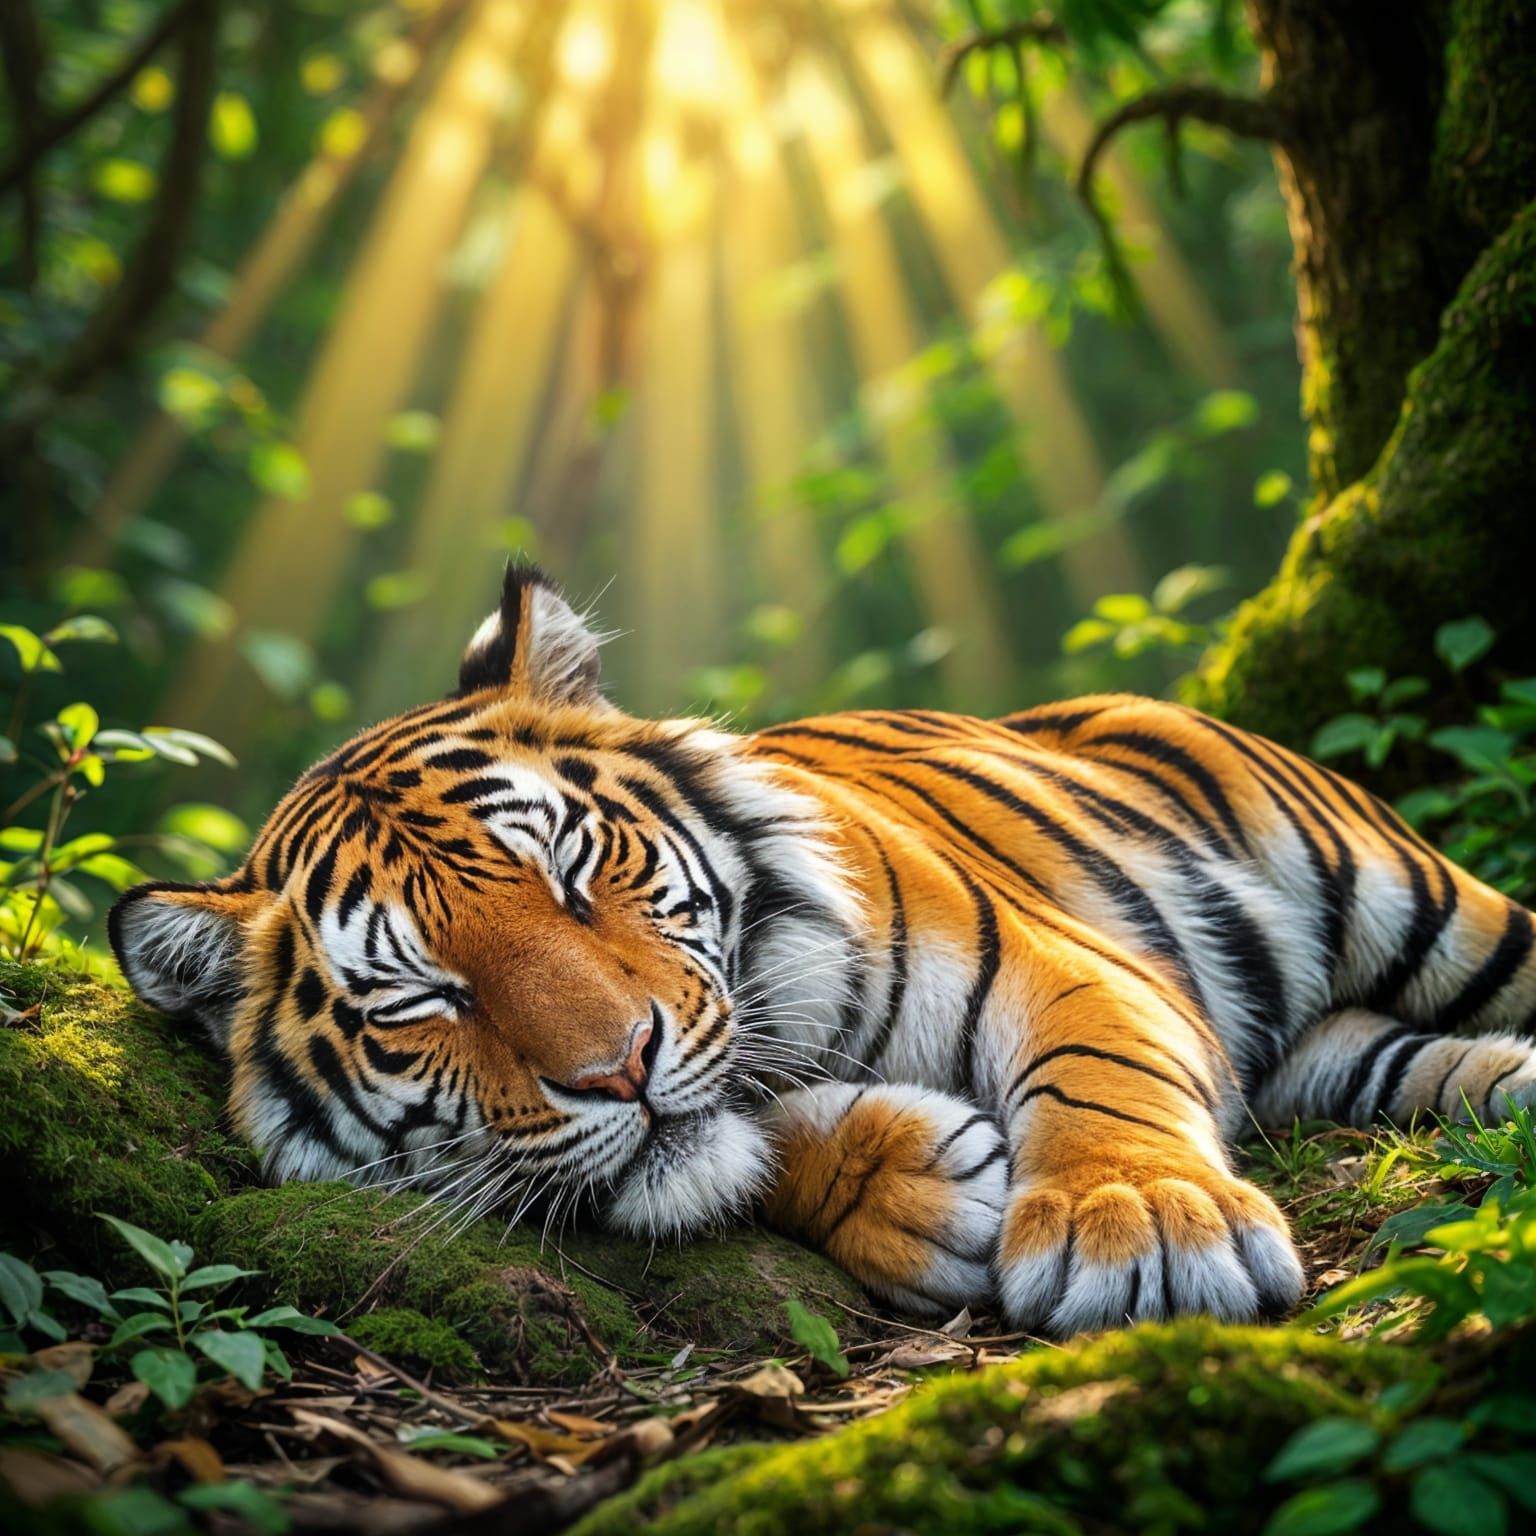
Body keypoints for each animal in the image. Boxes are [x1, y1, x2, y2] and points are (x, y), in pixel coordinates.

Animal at [110, 566, 1536, 1335]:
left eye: (569, 874)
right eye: (420, 996)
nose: (617, 1069)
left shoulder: (1063, 960)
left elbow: (1100, 1080)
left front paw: (1140, 1232)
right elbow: (744, 1150)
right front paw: (922, 1193)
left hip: (1428, 900)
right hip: (1331, 1046)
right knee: (1375, 1058)